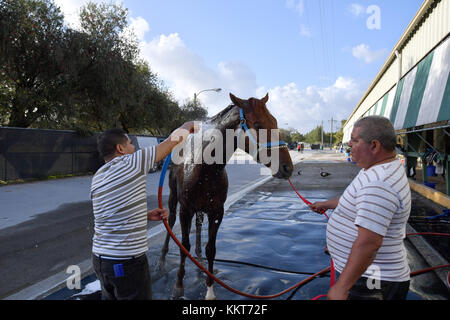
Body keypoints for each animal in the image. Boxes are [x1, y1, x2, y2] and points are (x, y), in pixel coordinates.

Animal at [160, 92, 294, 300]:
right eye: (258, 125)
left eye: (275, 121)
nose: (288, 167)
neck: (205, 168)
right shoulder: (186, 210)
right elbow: (184, 246)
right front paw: (178, 286)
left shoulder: (216, 212)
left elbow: (211, 249)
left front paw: (209, 289)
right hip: (174, 200)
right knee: (171, 221)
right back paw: (162, 258)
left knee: (198, 227)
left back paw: (198, 257)